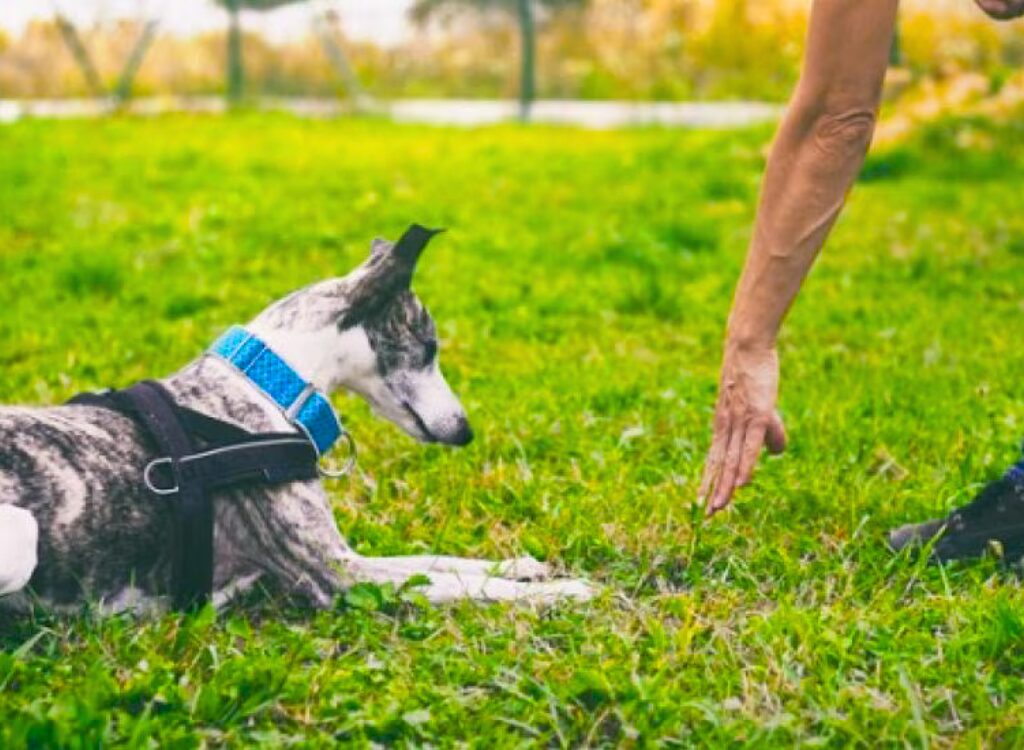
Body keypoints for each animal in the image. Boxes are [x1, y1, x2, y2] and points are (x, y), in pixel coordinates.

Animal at [0, 228, 593, 614]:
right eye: (430, 348)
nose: (465, 430)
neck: (268, 385)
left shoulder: (347, 556)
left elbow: (437, 559)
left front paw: (519, 565)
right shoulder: (337, 574)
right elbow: (463, 586)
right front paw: (561, 593)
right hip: (24, 535)